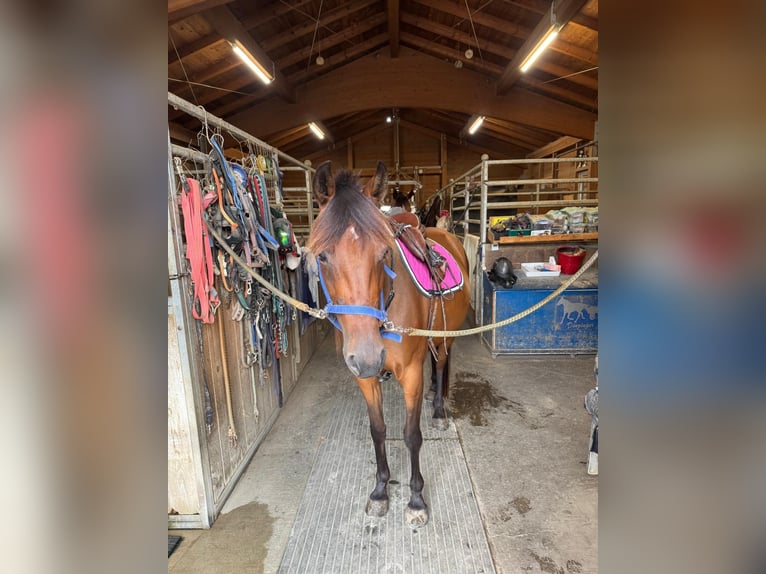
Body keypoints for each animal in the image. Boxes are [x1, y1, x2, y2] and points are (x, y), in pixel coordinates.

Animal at [308, 160, 470, 527]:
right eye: (322, 256)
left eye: (384, 252)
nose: (369, 357)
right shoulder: (364, 378)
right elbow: (378, 430)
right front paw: (381, 491)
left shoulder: (410, 373)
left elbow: (411, 435)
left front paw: (416, 500)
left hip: (444, 337)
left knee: (441, 363)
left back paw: (438, 408)